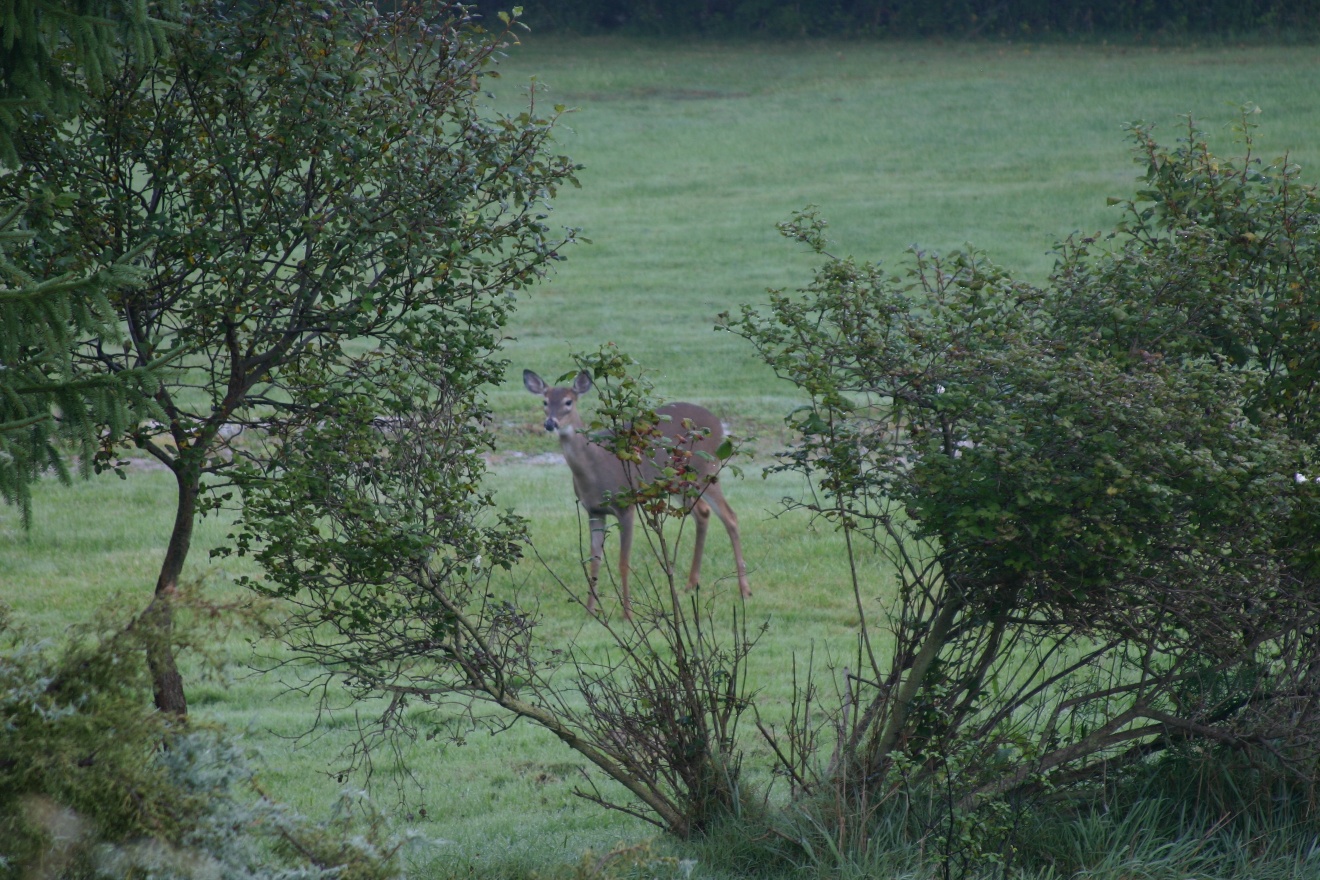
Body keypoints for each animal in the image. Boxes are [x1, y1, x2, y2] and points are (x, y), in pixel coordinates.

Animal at [523, 369, 751, 619]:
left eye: (568, 402)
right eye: (545, 402)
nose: (550, 423)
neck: (594, 469)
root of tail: (719, 425)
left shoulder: (627, 505)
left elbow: (624, 562)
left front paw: (627, 613)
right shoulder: (593, 511)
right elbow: (594, 560)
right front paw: (592, 611)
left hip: (705, 469)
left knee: (730, 516)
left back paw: (744, 590)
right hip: (679, 482)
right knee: (702, 512)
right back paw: (691, 585)